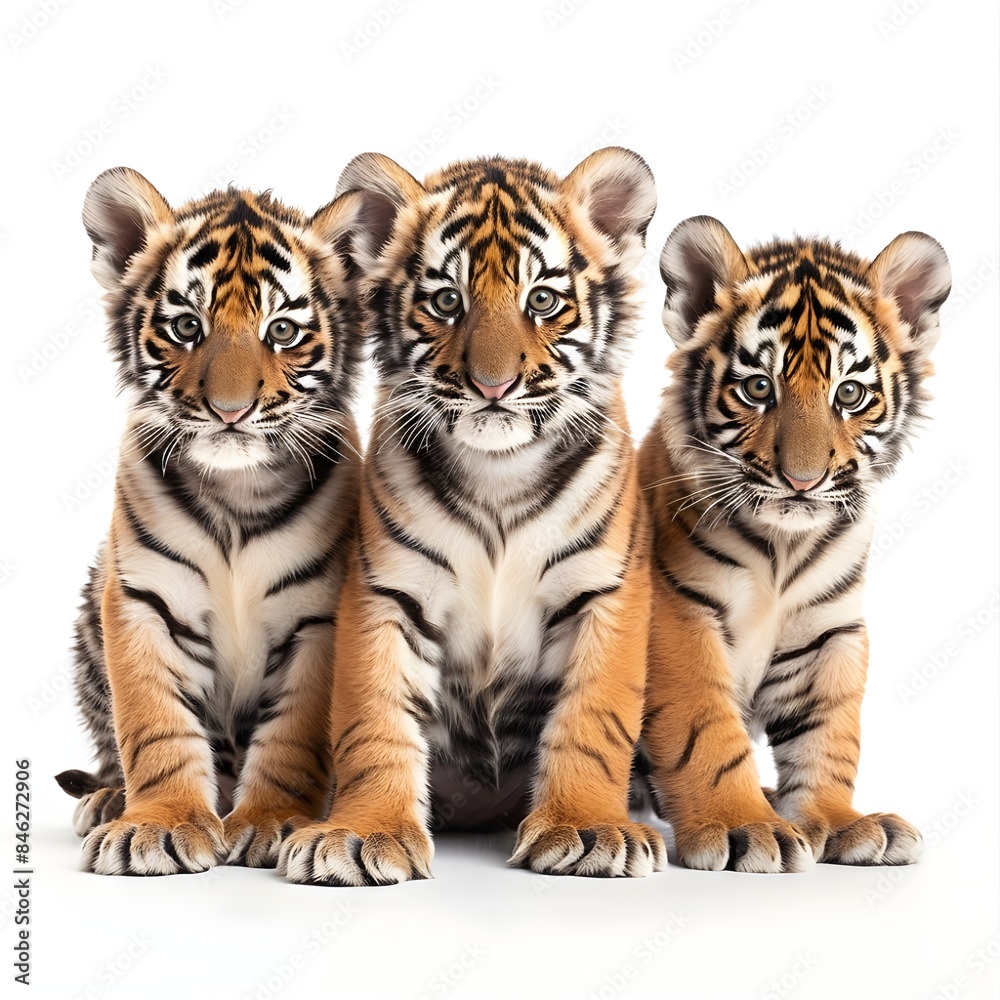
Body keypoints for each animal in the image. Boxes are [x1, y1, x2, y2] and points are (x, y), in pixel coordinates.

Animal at [54, 167, 383, 875]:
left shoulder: (317, 617)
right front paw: (155, 825)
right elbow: (155, 727)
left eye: (281, 332)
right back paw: (108, 801)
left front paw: (271, 823)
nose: (230, 411)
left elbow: (291, 737)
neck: (237, 491)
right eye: (186, 326)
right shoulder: (142, 601)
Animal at [277, 147, 667, 884]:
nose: (493, 385)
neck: (499, 477)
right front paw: (362, 833)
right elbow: (375, 718)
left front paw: (587, 827)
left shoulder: (606, 591)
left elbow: (593, 719)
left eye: (541, 300)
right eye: (446, 302)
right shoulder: (387, 591)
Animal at [636, 215, 951, 872]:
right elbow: (705, 732)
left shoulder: (829, 631)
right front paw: (743, 826)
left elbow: (827, 737)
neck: (783, 546)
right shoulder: (677, 615)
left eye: (849, 395)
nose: (802, 481)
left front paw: (841, 822)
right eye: (759, 388)